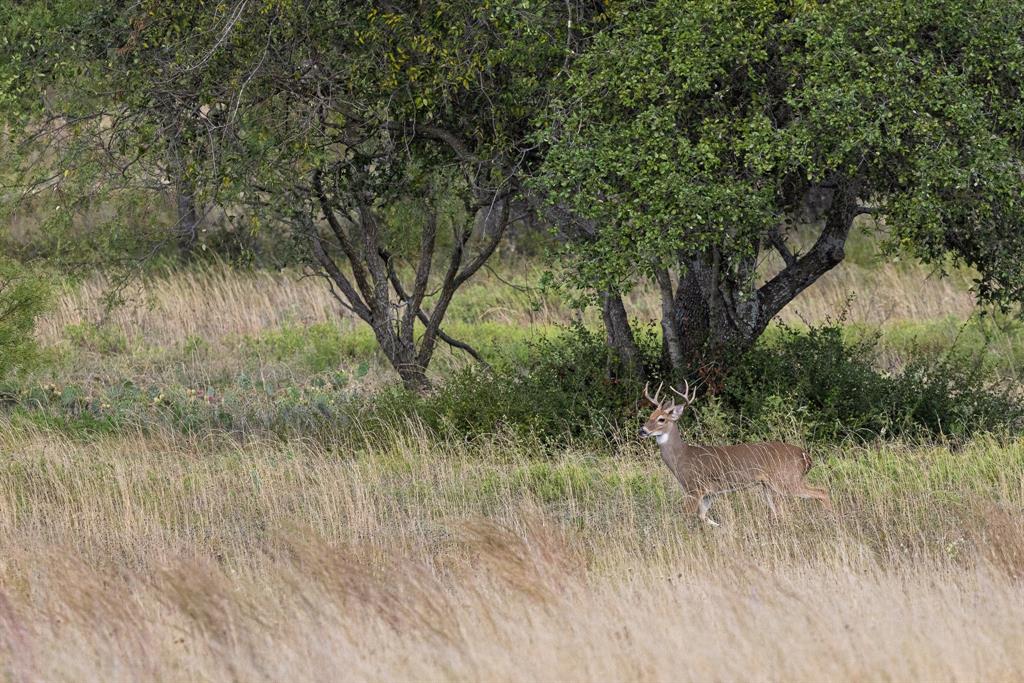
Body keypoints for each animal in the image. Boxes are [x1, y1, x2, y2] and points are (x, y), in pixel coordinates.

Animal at [639, 381, 832, 527]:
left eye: (661, 419)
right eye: (650, 415)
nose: (642, 430)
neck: (681, 457)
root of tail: (805, 455)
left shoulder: (694, 487)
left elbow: (685, 516)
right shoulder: (710, 492)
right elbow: (702, 516)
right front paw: (721, 528)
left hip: (787, 479)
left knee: (822, 491)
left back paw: (829, 519)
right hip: (768, 486)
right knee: (782, 512)